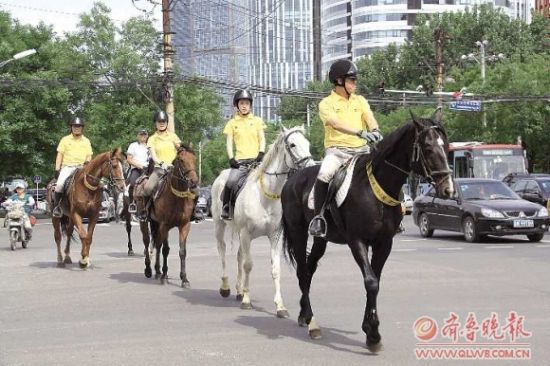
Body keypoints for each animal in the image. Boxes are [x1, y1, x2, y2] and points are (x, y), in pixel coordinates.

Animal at [139, 145, 199, 286]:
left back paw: (158, 271)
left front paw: (184, 279)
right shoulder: (164, 225)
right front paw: (164, 275)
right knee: (148, 243)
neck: (177, 197)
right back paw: (150, 270)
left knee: (157, 244)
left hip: (156, 224)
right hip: (145, 222)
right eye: (181, 160)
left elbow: (182, 251)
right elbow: (165, 250)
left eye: (195, 159)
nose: (194, 182)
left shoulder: (184, 225)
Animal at [212, 126, 314, 318]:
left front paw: (280, 307)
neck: (265, 194)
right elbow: (248, 265)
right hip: (220, 226)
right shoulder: (246, 233)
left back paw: (239, 291)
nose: (311, 167)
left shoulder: (274, 235)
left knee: (239, 256)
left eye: (308, 143)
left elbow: (275, 269)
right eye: (292, 144)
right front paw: (246, 301)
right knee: (222, 251)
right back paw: (225, 287)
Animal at [282, 110, 454, 350]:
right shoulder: (357, 241)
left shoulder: (384, 243)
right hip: (298, 233)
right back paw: (311, 321)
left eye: (445, 146)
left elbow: (376, 281)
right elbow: (370, 282)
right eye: (428, 148)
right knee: (302, 271)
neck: (376, 187)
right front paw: (372, 333)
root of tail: (293, 179)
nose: (448, 189)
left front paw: (370, 329)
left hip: (321, 239)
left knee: (309, 268)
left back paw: (303, 315)